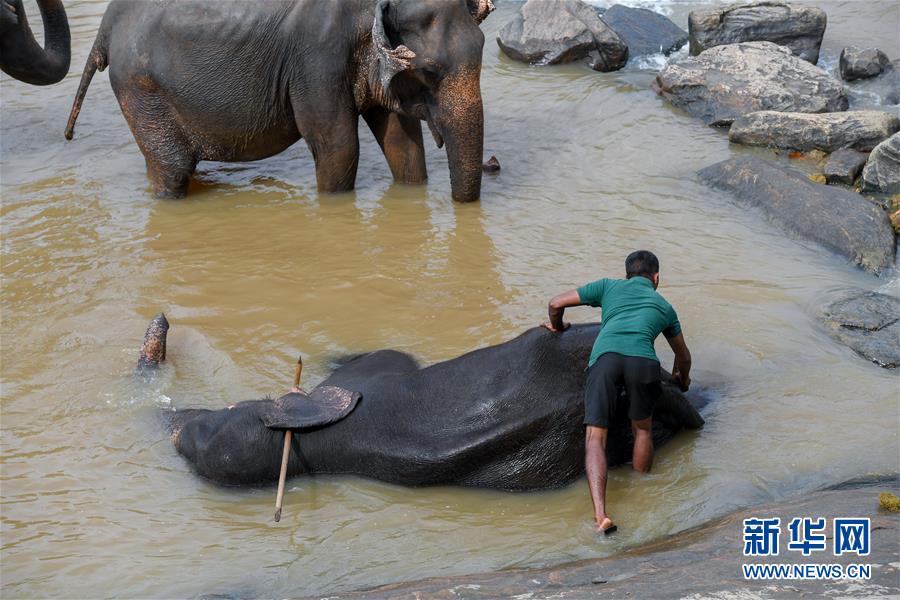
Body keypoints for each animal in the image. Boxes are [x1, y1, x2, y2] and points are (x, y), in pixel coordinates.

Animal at [67, 0, 496, 202]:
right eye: (429, 71)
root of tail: (104, 28)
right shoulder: (317, 58)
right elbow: (338, 148)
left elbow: (402, 146)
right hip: (140, 88)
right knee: (173, 171)